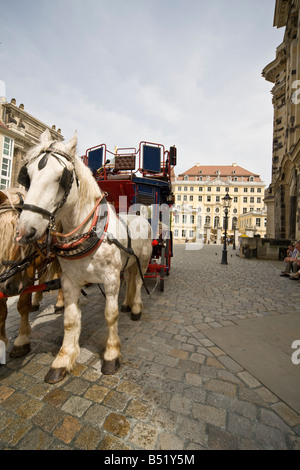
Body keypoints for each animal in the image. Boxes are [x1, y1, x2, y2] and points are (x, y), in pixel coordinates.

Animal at [0, 187, 62, 360]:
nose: (10, 286)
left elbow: (22, 305)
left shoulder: (26, 274)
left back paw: (60, 302)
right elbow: (2, 312)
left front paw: (22, 341)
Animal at [15, 129, 152, 382]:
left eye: (61, 177)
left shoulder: (110, 280)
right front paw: (63, 359)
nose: (24, 231)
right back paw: (128, 304)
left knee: (137, 282)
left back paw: (136, 308)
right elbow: (70, 320)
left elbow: (110, 315)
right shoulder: (69, 281)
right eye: (27, 175)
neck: (90, 233)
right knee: (129, 280)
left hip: (144, 261)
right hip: (128, 264)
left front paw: (111, 355)